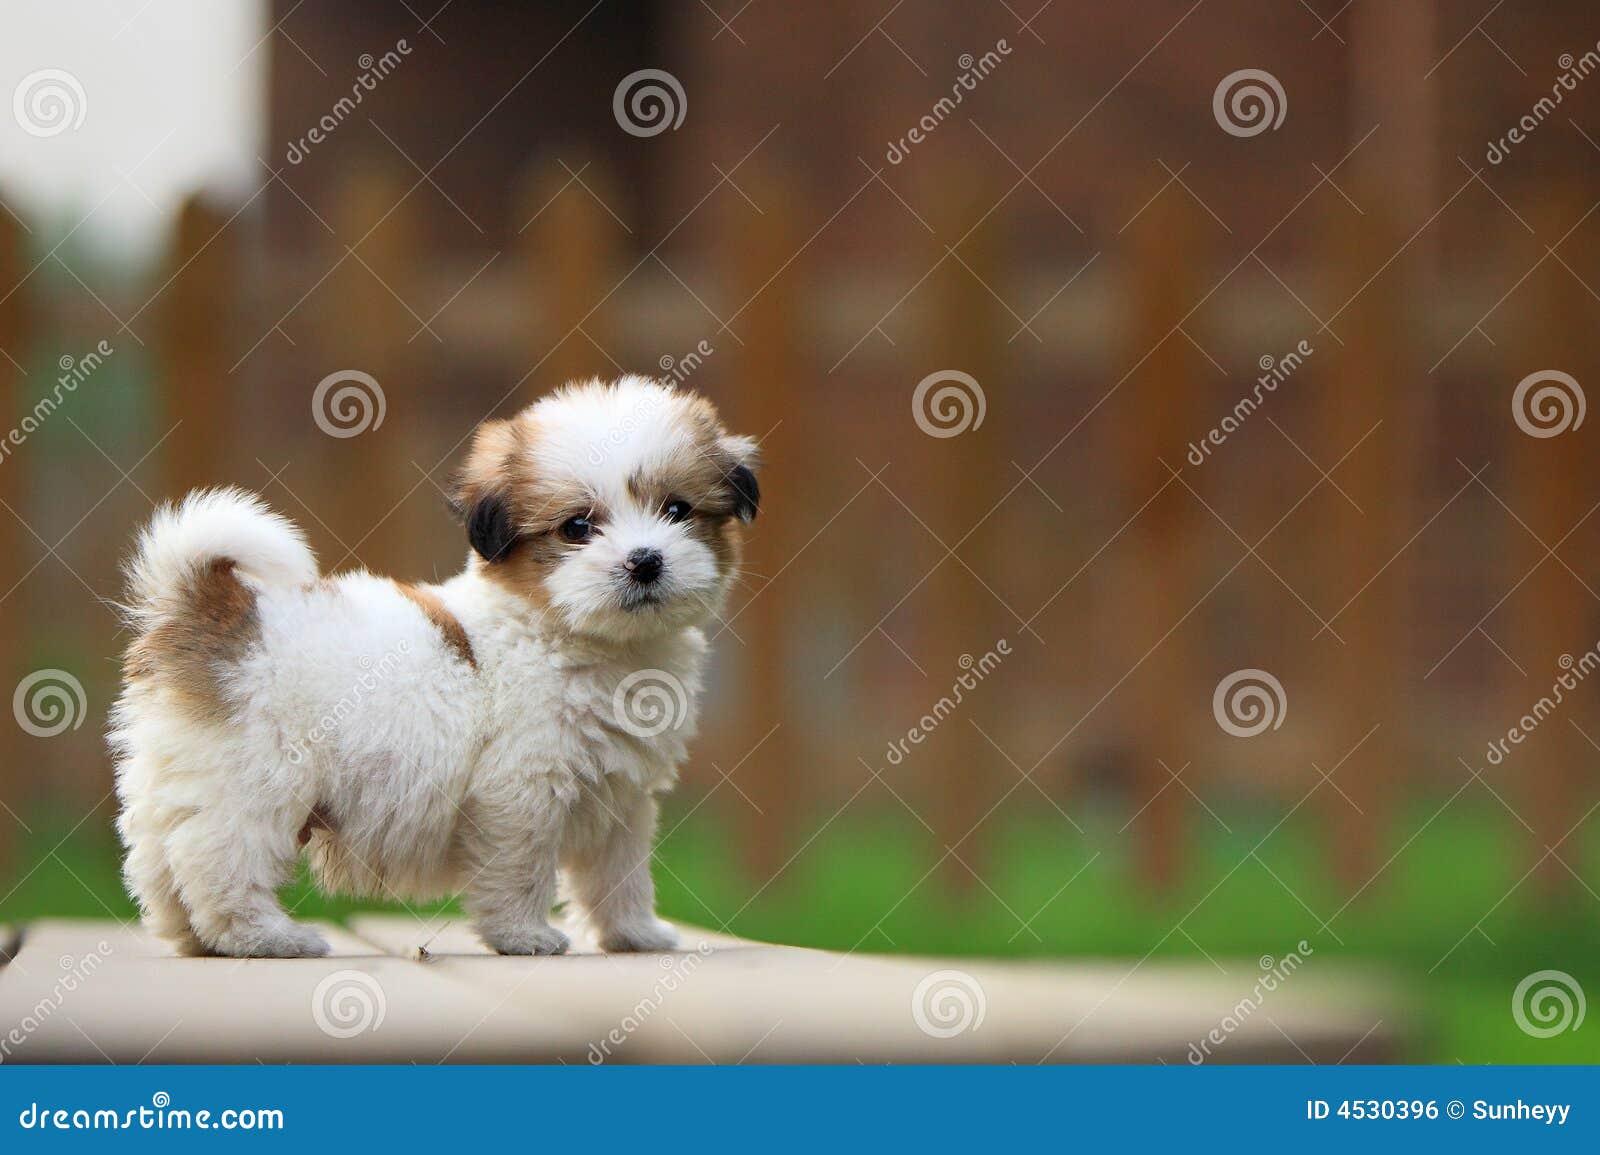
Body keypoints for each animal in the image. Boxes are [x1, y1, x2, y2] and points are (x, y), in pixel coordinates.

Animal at [111, 377, 761, 953]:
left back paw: (191, 937)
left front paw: (635, 934)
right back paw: (265, 937)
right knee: (218, 858)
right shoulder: (519, 790)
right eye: (578, 526)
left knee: (160, 859)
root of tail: (215, 606)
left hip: (181, 776)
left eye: (677, 509)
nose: (645, 560)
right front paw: (523, 935)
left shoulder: (620, 799)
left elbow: (618, 872)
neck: (578, 638)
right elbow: (521, 866)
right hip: (258, 780)